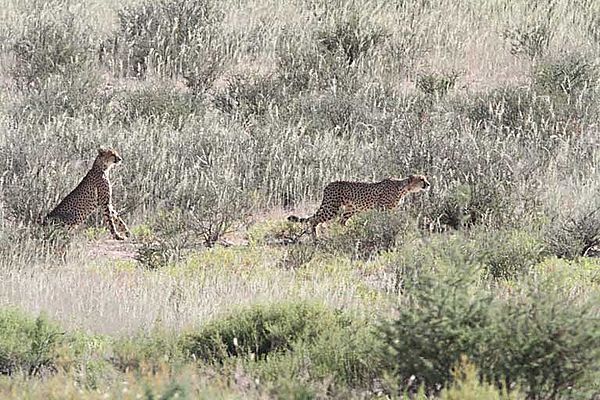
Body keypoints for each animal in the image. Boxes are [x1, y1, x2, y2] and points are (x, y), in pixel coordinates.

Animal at [288, 174, 428, 236]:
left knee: (340, 221)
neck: (403, 188)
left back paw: (346, 231)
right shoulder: (381, 209)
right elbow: (383, 222)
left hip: (351, 209)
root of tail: (328, 184)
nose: (429, 184)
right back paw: (315, 238)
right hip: (331, 208)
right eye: (421, 179)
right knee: (314, 220)